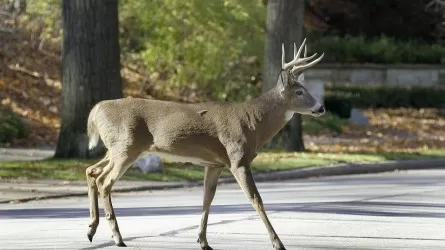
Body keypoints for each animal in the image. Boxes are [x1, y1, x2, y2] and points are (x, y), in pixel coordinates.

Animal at [85, 38, 324, 249]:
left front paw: (203, 241)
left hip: (118, 148)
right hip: (126, 147)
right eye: (299, 91)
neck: (253, 122)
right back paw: (116, 237)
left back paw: (91, 229)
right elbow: (256, 199)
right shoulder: (237, 159)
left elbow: (207, 198)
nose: (321, 107)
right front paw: (278, 243)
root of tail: (95, 111)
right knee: (104, 181)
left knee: (91, 171)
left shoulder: (214, 164)